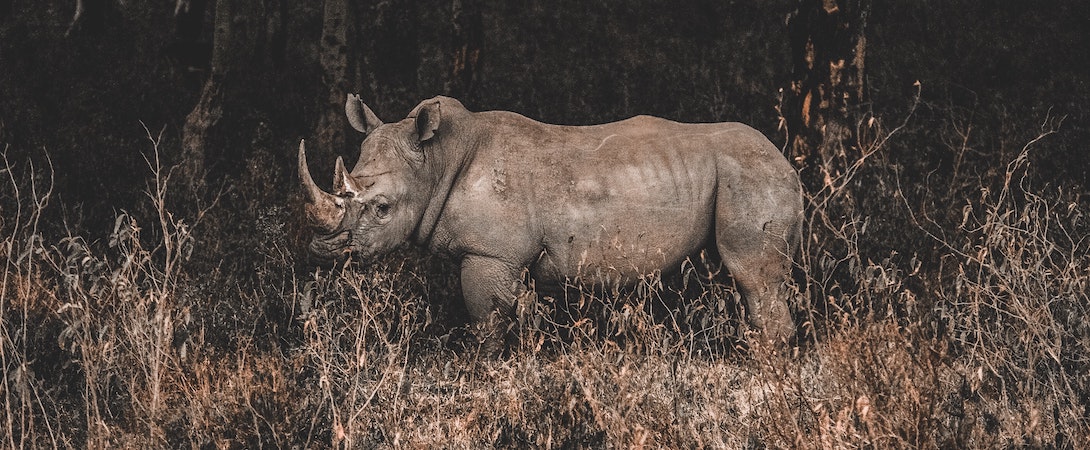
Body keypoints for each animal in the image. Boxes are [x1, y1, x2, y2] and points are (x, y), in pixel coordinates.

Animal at [300, 94, 804, 345]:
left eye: (382, 208)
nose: (323, 251)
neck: (436, 159)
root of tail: (787, 163)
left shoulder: (491, 254)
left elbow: (488, 326)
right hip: (742, 174)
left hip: (751, 175)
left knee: (753, 277)